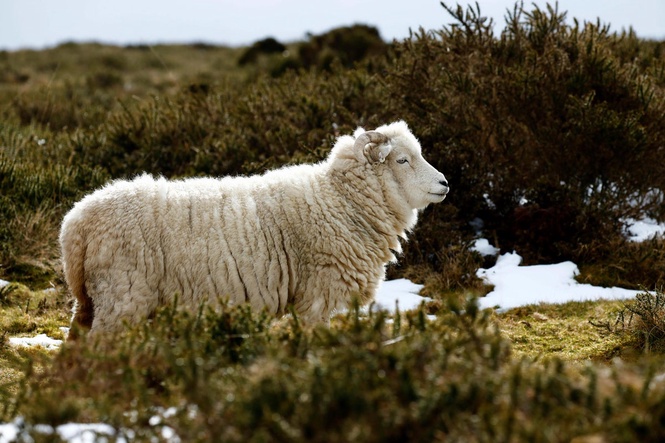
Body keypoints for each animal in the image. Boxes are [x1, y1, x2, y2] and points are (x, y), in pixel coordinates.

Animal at [60, 120, 449, 338]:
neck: (339, 200)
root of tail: (76, 223)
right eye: (402, 160)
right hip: (123, 296)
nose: (445, 183)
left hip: (93, 300)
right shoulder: (317, 295)